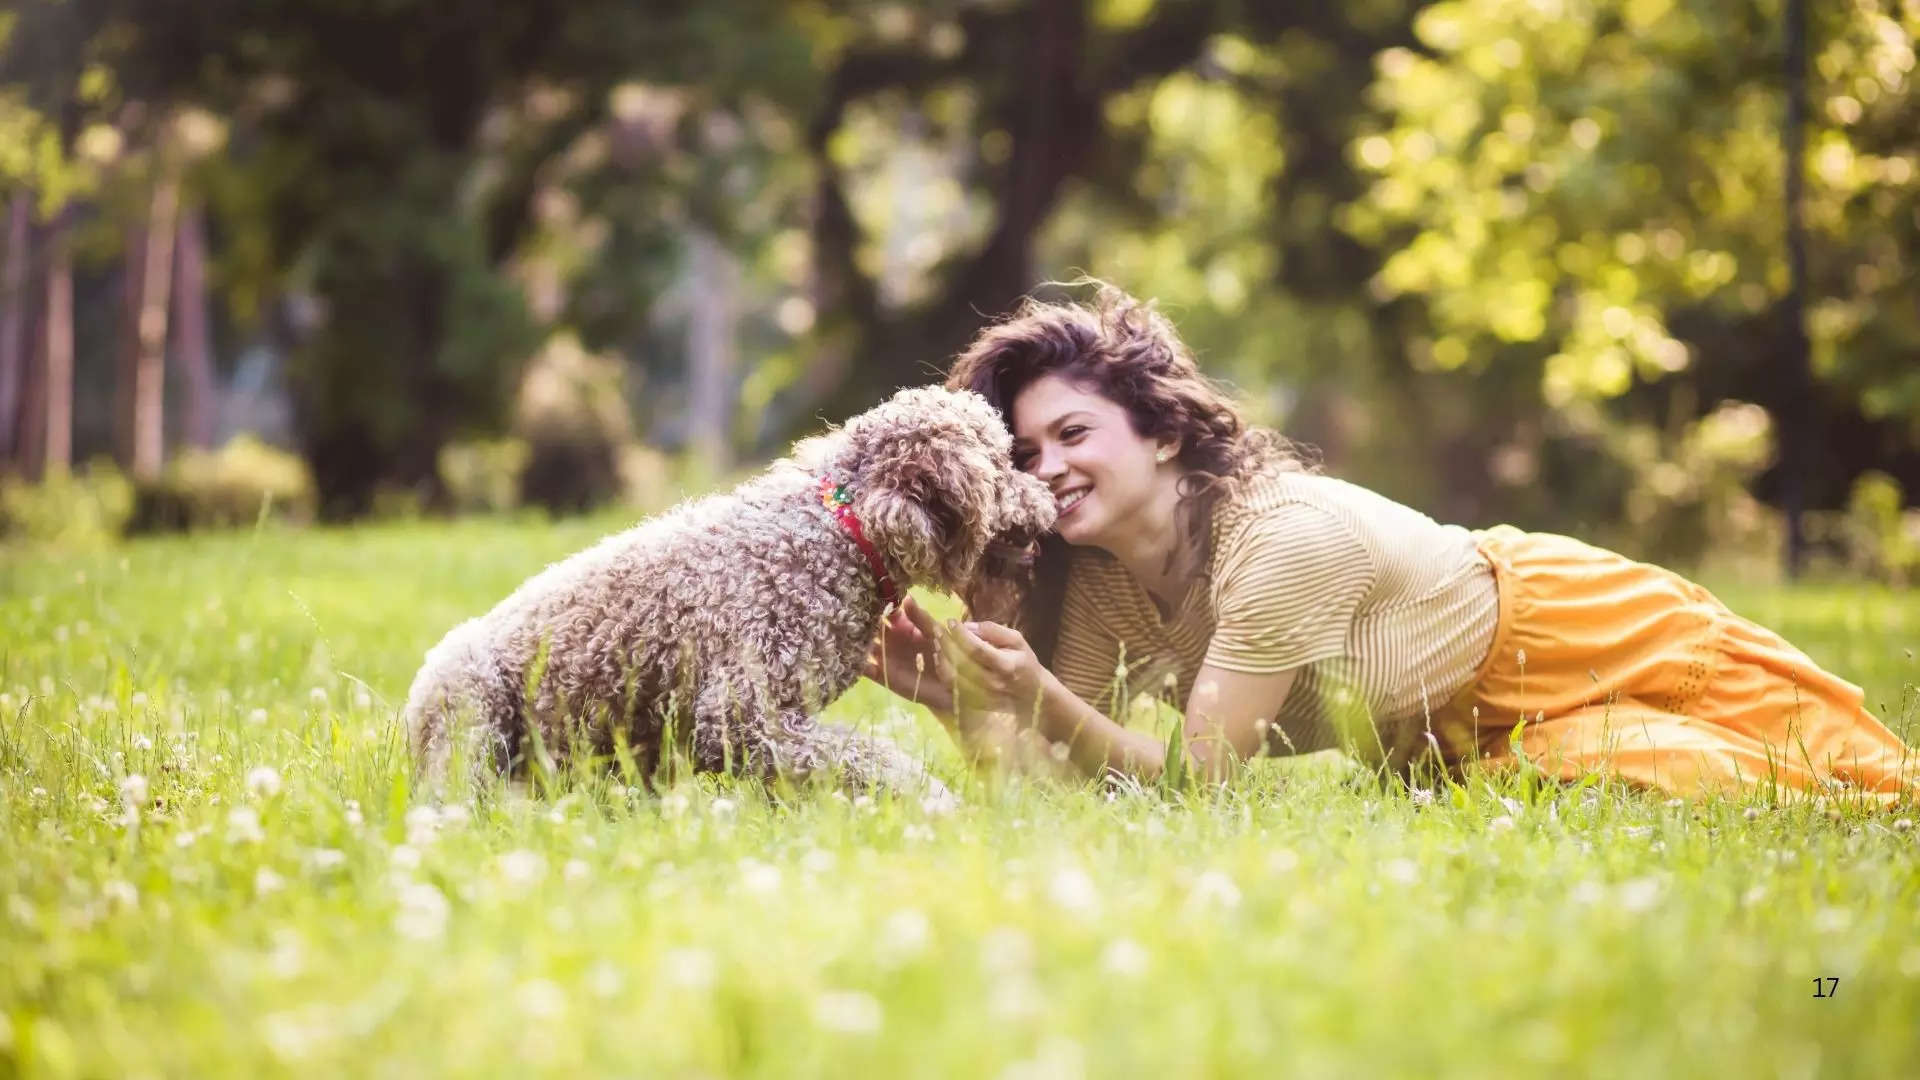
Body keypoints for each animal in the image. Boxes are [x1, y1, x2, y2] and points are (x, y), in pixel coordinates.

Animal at [401, 384, 1052, 799]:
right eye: (1002, 465)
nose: (1048, 498)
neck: (841, 532)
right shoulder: (742, 715)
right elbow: (869, 757)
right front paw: (936, 800)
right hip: (473, 717)